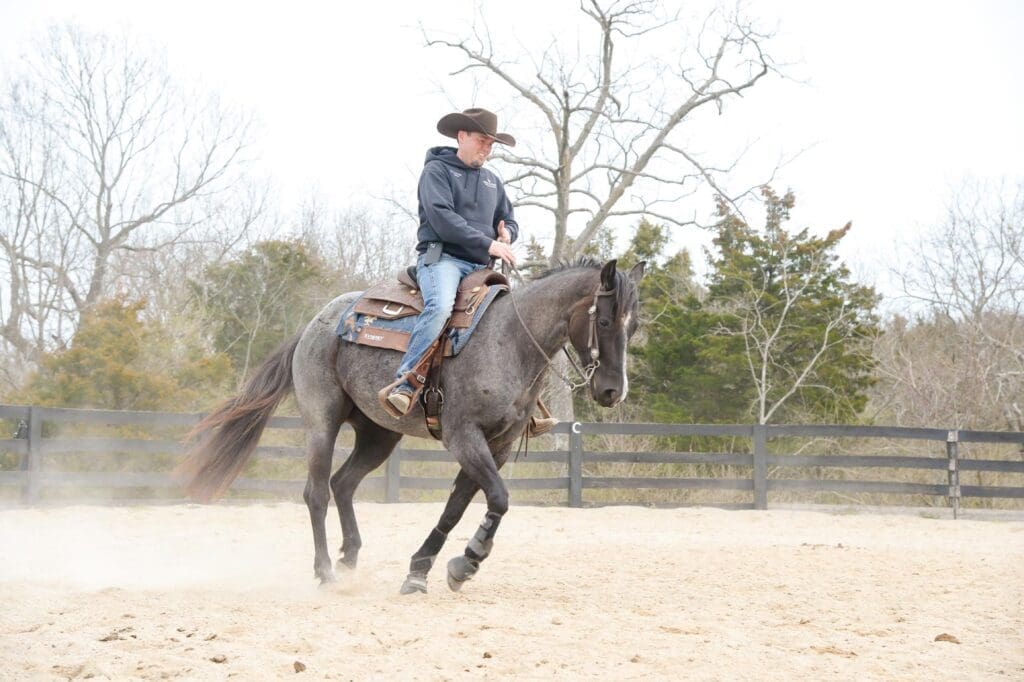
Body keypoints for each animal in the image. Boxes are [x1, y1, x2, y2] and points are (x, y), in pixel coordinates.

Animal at [175, 254, 638, 589]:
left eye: (633, 327)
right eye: (603, 320)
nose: (612, 392)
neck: (508, 340)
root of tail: (314, 325)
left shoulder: (498, 445)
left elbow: (458, 507)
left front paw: (427, 567)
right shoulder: (464, 437)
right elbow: (499, 497)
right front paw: (467, 561)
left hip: (378, 435)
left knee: (343, 484)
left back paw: (350, 557)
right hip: (322, 423)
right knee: (317, 493)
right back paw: (325, 572)